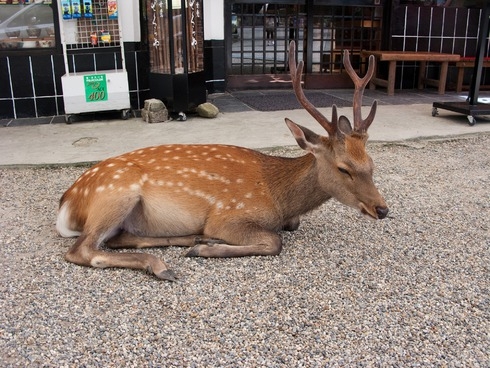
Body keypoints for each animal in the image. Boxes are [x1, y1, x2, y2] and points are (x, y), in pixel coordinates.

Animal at [56, 41, 386, 282]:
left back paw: (193, 240)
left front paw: (206, 244)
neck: (279, 197)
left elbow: (289, 229)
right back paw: (165, 263)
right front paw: (208, 248)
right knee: (82, 250)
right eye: (344, 168)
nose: (382, 209)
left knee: (117, 239)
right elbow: (274, 242)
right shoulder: (229, 214)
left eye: (371, 164)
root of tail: (67, 203)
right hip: (116, 193)